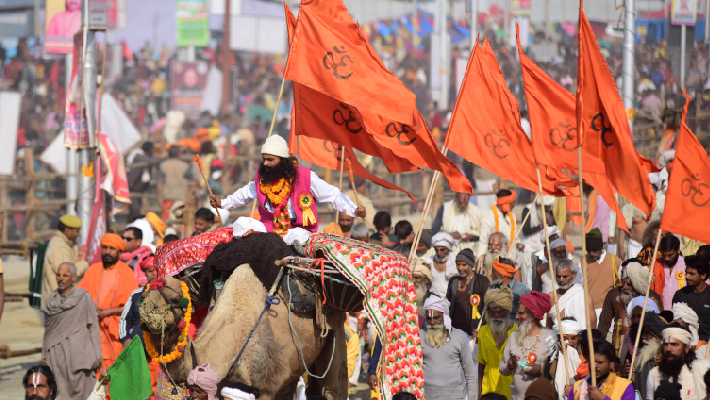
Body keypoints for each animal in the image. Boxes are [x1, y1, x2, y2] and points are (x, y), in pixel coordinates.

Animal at [140, 264, 350, 398]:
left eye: (176, 299)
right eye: (146, 293)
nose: (147, 310)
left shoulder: (265, 386)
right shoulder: (220, 386)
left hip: (334, 330)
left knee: (332, 389)